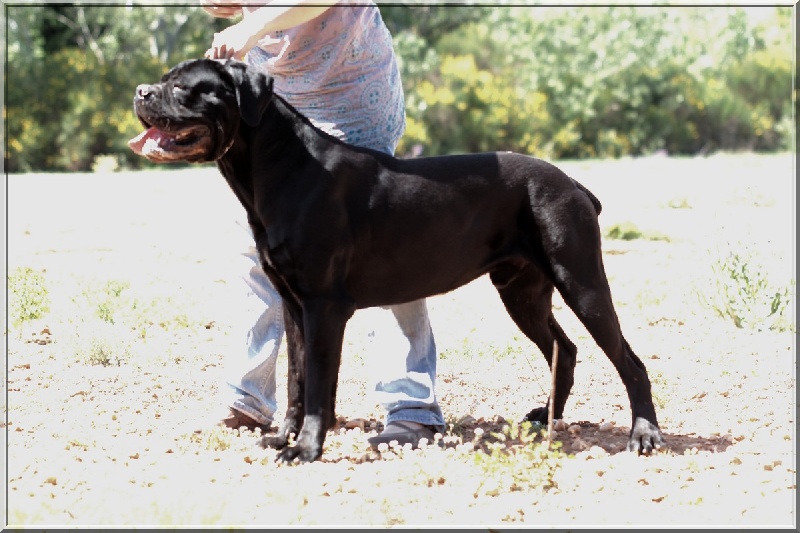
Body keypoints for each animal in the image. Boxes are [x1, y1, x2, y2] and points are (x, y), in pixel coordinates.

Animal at [131, 59, 664, 462]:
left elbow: (319, 385)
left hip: (581, 279)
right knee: (564, 349)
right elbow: (296, 380)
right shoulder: (294, 305)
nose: (140, 92)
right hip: (522, 290)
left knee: (629, 360)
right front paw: (282, 437)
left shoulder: (324, 306)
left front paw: (306, 449)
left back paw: (644, 435)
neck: (279, 167)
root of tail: (574, 184)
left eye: (182, 86)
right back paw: (545, 417)